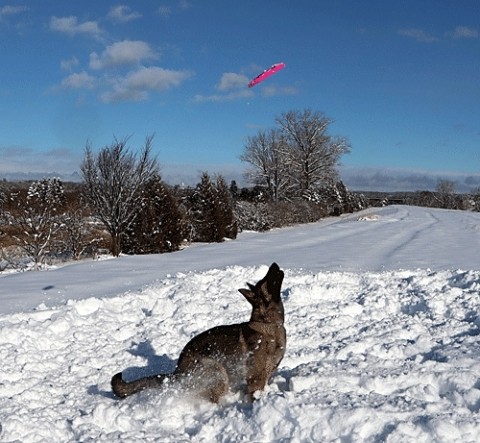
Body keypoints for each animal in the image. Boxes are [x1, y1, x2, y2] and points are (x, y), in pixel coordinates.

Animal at [111, 262, 284, 404]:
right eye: (267, 280)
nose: (275, 264)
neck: (268, 324)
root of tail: (178, 371)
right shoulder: (256, 379)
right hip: (217, 370)